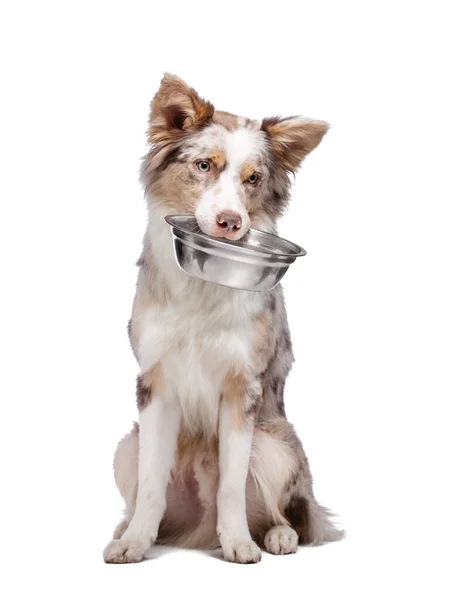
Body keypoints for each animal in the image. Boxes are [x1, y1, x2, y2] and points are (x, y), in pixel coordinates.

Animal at [103, 74, 342, 564]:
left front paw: (239, 544)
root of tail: (198, 529)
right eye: (203, 166)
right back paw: (130, 529)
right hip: (125, 447)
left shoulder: (241, 387)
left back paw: (277, 536)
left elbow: (231, 485)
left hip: (276, 446)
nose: (231, 222)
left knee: (289, 512)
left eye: (253, 178)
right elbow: (151, 484)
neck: (201, 290)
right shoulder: (155, 382)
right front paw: (135, 542)